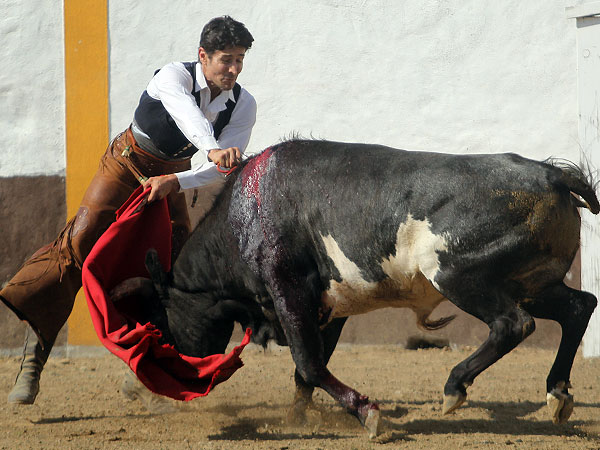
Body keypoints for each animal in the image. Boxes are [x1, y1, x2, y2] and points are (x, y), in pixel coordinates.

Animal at [112, 140, 600, 436]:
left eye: (167, 317)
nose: (183, 375)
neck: (245, 218)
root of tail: (551, 176)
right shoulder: (329, 308)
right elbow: (308, 368)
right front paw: (297, 419)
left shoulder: (289, 292)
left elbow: (309, 364)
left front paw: (367, 412)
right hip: (533, 281)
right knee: (579, 306)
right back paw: (558, 395)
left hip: (460, 276)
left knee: (512, 324)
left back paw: (454, 388)